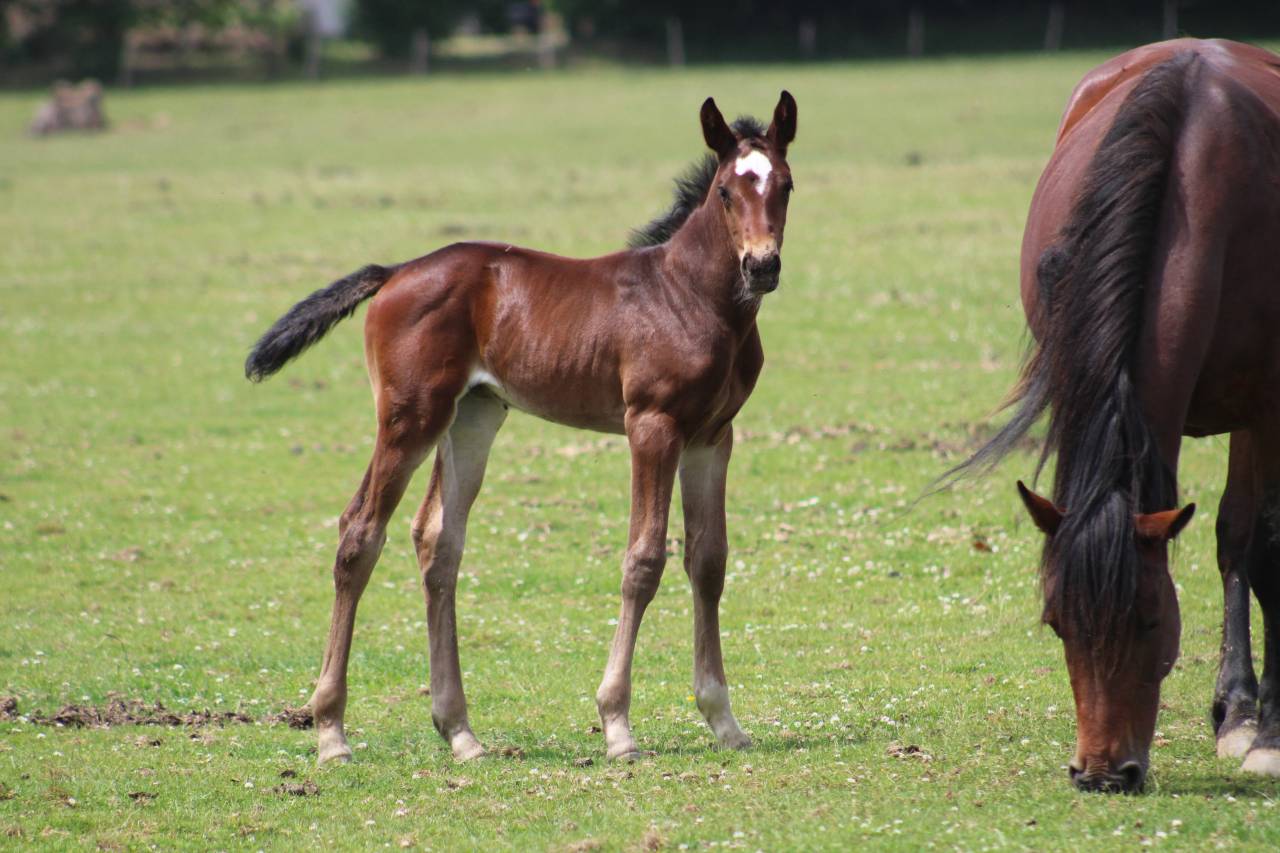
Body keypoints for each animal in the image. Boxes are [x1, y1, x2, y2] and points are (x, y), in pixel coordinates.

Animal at [245, 92, 797, 764]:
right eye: (724, 191)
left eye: (786, 185)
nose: (762, 266)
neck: (689, 295)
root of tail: (395, 272)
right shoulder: (653, 426)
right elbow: (643, 560)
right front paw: (617, 725)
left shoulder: (713, 436)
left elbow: (709, 560)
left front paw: (724, 721)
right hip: (410, 416)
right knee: (360, 532)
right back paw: (331, 732)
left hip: (473, 415)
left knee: (438, 540)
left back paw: (459, 731)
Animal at [956, 39, 1280, 792]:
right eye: (1057, 622)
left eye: (1150, 620)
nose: (1103, 773)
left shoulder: (1269, 402)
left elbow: (1270, 543)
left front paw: (1268, 729)